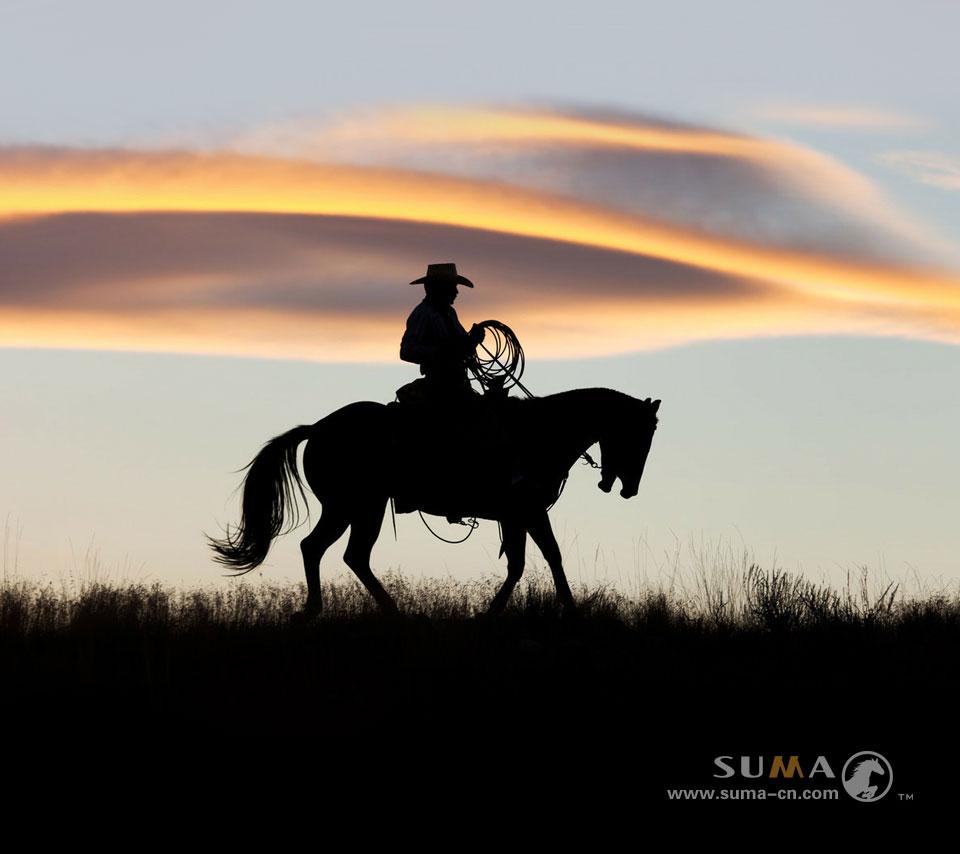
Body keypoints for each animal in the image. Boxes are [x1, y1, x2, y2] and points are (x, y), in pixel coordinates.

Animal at [210, 388, 660, 616]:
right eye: (639, 434)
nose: (628, 489)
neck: (540, 432)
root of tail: (318, 428)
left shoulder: (518, 516)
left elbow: (527, 561)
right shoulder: (526, 512)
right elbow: (542, 558)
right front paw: (566, 609)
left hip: (353, 508)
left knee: (329, 551)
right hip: (358, 506)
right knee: (337, 552)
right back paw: (383, 613)